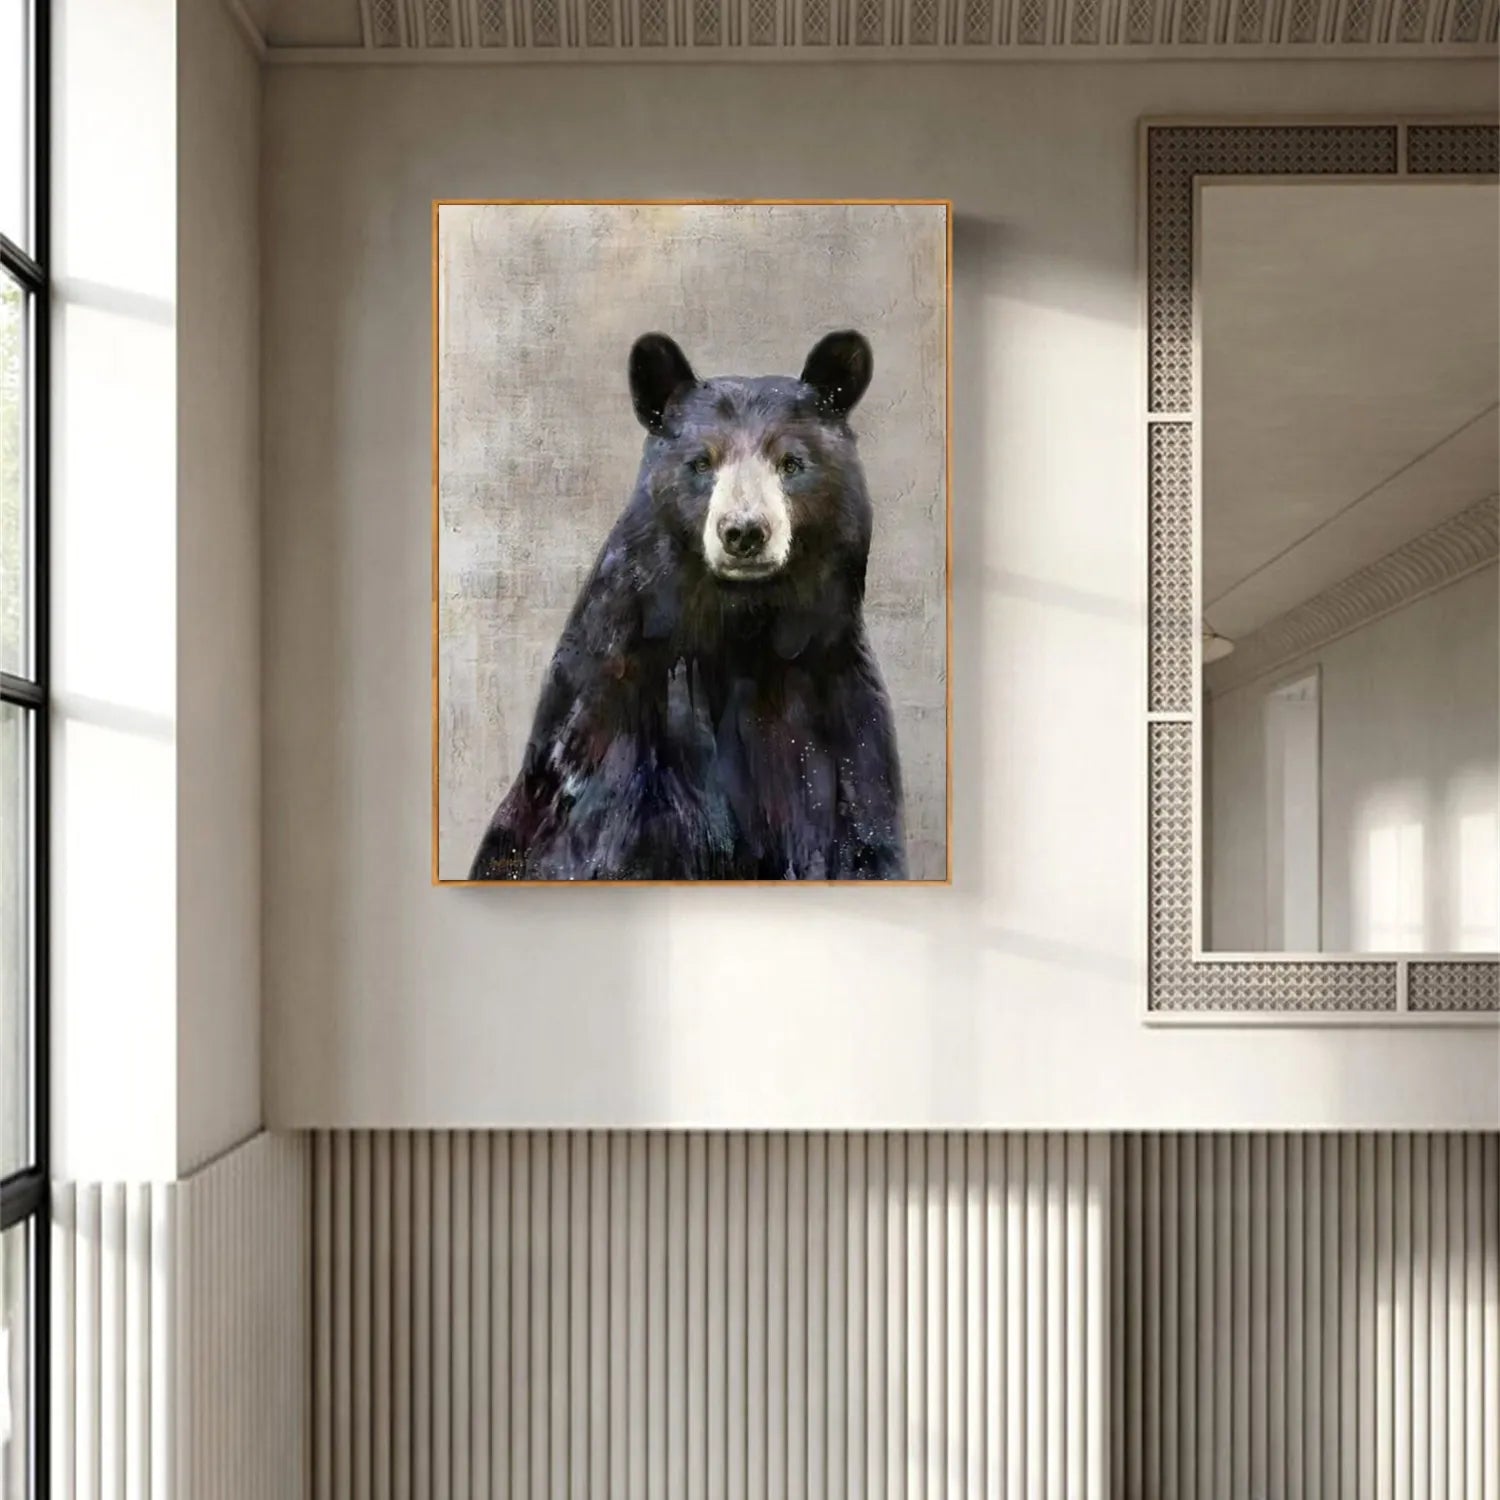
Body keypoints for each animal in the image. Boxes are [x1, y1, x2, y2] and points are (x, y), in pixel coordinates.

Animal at [469, 329, 908, 881]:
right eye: (701, 462)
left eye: (791, 463)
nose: (744, 532)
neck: (742, 630)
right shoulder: (618, 730)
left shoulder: (839, 718)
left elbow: (859, 838)